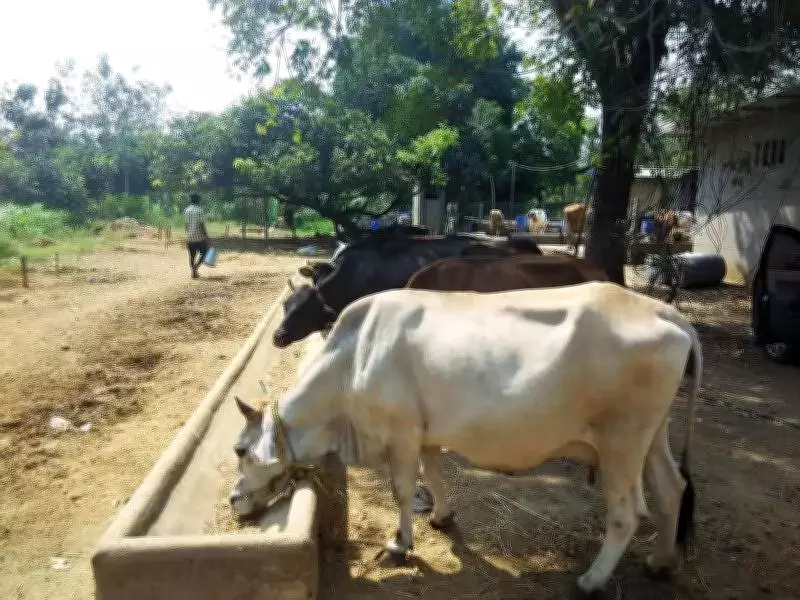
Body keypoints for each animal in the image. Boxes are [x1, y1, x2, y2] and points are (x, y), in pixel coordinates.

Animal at [230, 281, 702, 595]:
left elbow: (403, 491)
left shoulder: (401, 435)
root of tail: (665, 312)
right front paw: (441, 517)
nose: (233, 500)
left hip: (622, 441)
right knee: (671, 489)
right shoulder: (426, 436)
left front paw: (400, 544)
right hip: (651, 437)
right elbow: (436, 477)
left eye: (239, 450)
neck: (350, 364)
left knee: (628, 512)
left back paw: (592, 579)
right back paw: (660, 561)